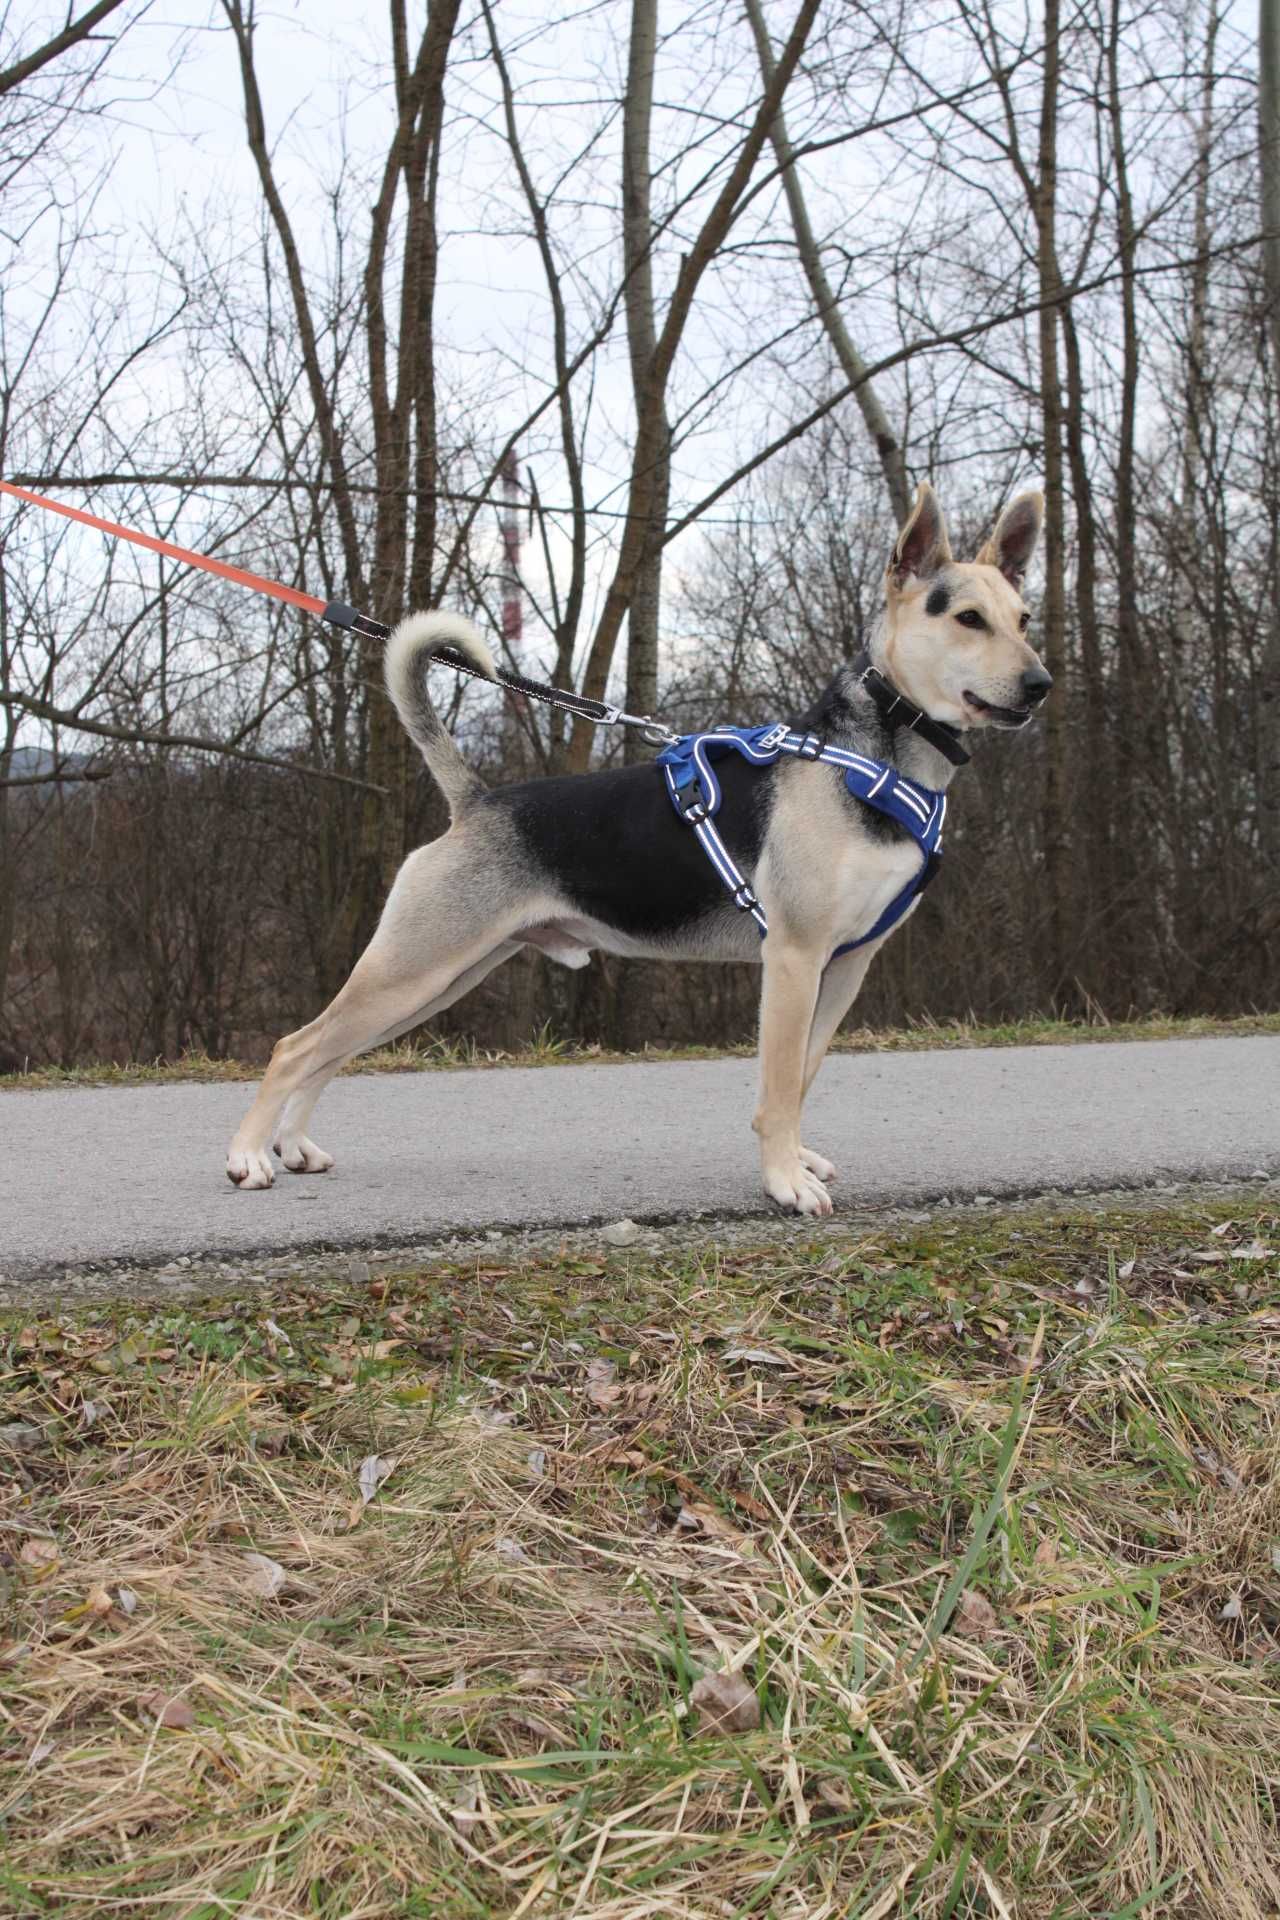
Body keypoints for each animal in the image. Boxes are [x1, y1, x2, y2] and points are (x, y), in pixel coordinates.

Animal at [230, 487, 1051, 1221]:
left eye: (1023, 619)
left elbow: (803, 1075)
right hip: (417, 965)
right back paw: (247, 1157)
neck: (876, 755)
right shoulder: (793, 957)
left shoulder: (846, 965)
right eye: (968, 619)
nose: (1041, 683)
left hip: (441, 975)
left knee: (331, 1051)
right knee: (295, 1046)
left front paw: (794, 1158)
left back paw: (293, 1145)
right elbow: (778, 1086)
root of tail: (477, 801)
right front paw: (784, 1181)